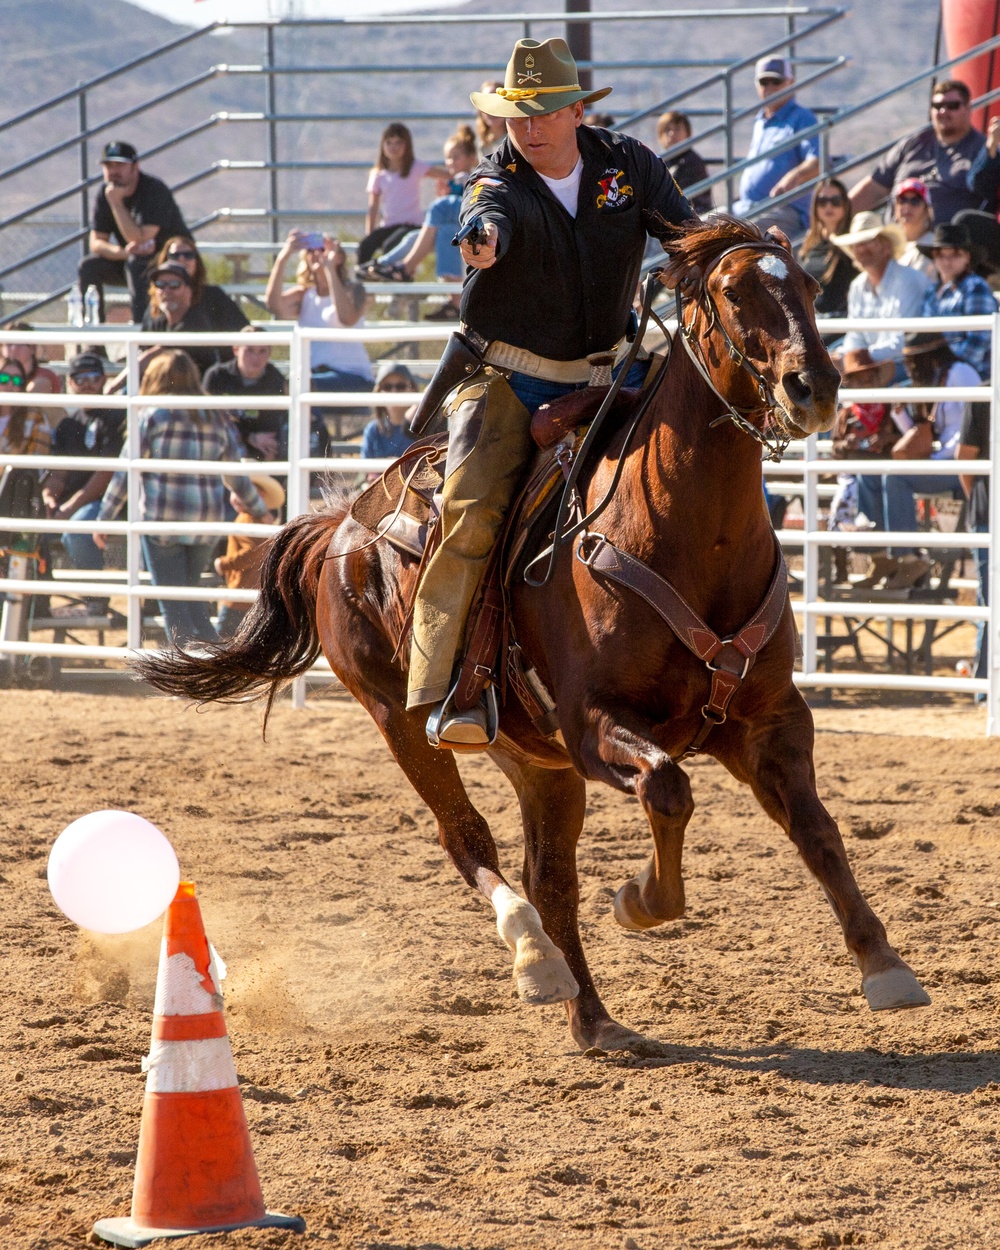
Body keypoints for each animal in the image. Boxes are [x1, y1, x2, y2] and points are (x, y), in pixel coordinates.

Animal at [140, 217, 930, 1055]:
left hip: (534, 758)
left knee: (550, 877)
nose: (814, 386)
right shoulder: (595, 727)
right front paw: (641, 900)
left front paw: (885, 965)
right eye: (731, 290)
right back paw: (535, 960)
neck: (687, 535)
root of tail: (339, 528)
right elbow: (668, 788)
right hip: (403, 720)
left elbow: (817, 830)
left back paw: (594, 1017)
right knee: (471, 843)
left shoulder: (769, 720)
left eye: (810, 286)